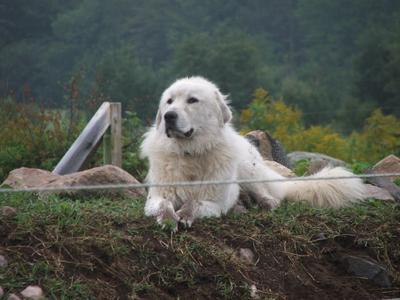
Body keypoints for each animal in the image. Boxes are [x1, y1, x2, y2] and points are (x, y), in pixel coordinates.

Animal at [141, 76, 366, 229]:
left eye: (192, 100)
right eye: (169, 101)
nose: (169, 116)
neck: (190, 153)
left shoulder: (214, 202)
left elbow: (193, 202)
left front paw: (185, 215)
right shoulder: (156, 197)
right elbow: (165, 205)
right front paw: (168, 219)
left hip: (249, 172)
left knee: (268, 197)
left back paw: (264, 204)